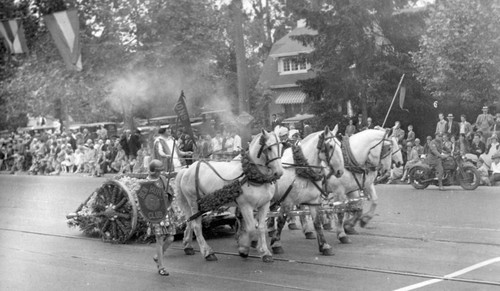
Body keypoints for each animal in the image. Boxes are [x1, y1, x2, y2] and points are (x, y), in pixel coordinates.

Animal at [176, 129, 286, 262]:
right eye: (269, 148)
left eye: (282, 146)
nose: (279, 173)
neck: (253, 176)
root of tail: (187, 169)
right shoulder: (245, 206)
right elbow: (251, 229)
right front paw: (244, 249)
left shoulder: (264, 205)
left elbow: (261, 228)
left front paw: (265, 252)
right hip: (193, 201)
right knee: (196, 225)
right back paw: (207, 252)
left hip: (199, 204)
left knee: (190, 222)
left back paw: (188, 246)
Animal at [268, 126, 346, 256]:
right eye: (330, 146)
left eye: (340, 144)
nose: (340, 171)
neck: (302, 169)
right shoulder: (287, 201)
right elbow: (281, 221)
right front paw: (276, 245)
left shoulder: (313, 202)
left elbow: (317, 223)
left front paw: (324, 246)